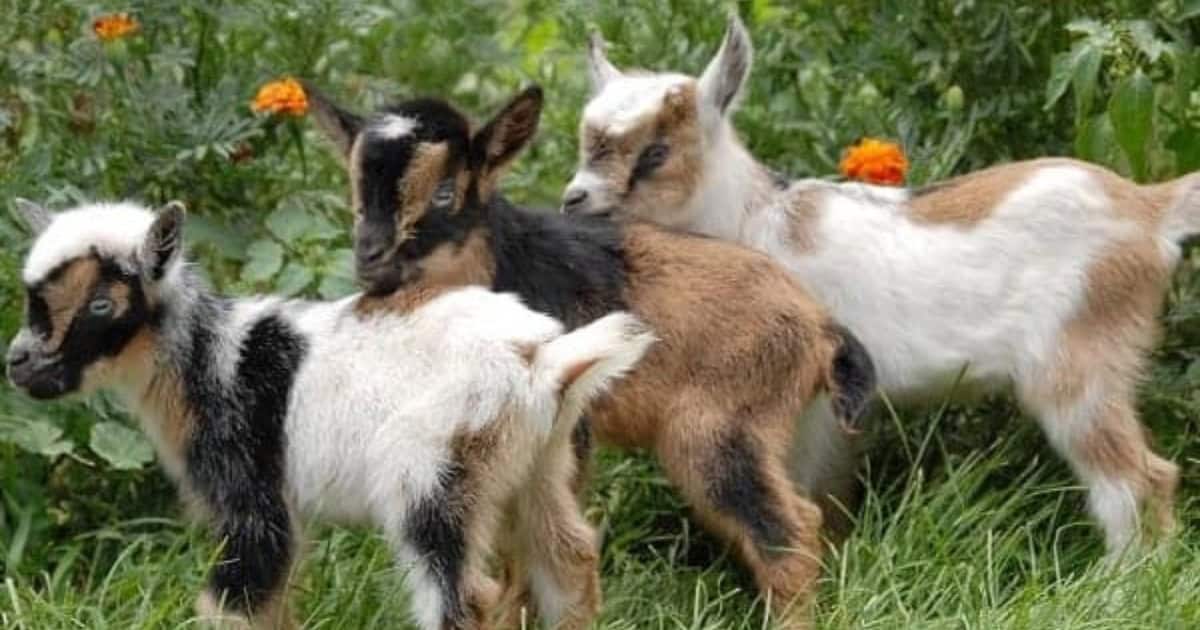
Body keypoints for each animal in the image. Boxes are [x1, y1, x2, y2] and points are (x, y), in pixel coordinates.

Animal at [5, 199, 656, 630]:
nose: (18, 362)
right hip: (537, 465)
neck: (206, 359)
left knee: (463, 595)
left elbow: (235, 599)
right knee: (570, 557)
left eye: (100, 304)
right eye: (33, 300)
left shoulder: (251, 496)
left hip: (433, 478)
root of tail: (540, 360)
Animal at [304, 82, 878, 627]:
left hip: (719, 430)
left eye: (446, 192)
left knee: (790, 529)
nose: (371, 258)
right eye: (356, 190)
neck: (503, 262)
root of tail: (820, 326)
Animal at [565, 15, 1196, 558]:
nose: (575, 199)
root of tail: (1148, 209)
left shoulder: (820, 405)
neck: (754, 222)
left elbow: (816, 493)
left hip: (1077, 364)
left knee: (1138, 479)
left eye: (656, 152)